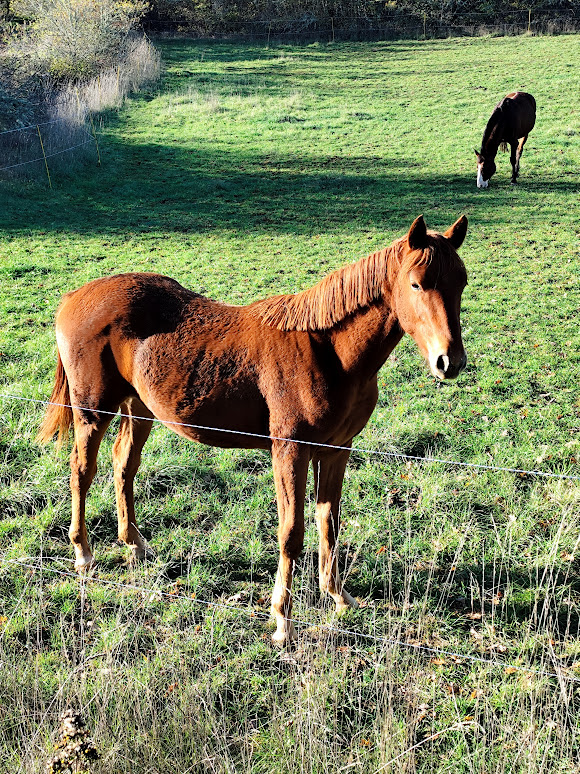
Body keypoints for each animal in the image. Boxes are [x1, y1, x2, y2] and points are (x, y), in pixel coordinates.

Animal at [38, 214, 468, 645]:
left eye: (461, 282)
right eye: (416, 283)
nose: (450, 362)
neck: (329, 352)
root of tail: (75, 296)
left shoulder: (337, 450)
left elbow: (328, 521)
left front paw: (338, 596)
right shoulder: (290, 450)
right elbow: (291, 532)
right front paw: (282, 620)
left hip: (138, 407)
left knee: (123, 466)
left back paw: (135, 544)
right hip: (92, 411)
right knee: (82, 471)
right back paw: (83, 554)